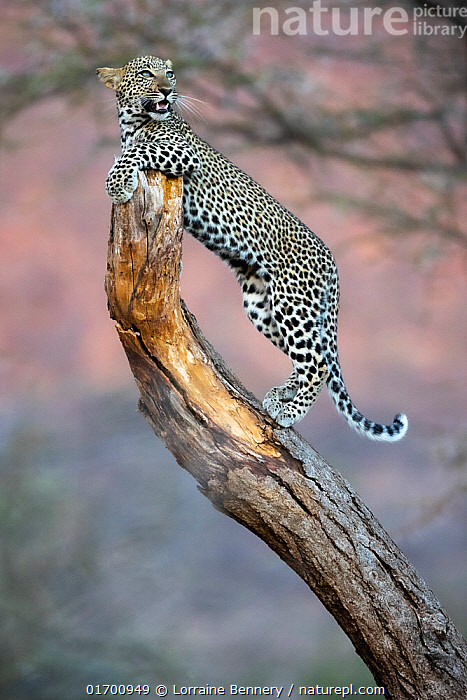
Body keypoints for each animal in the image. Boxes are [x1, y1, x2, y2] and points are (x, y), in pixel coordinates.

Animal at [97, 55, 408, 442]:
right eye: (145, 74)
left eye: (169, 74)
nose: (168, 90)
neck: (133, 122)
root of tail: (331, 260)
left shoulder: (181, 152)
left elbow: (137, 151)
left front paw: (116, 183)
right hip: (261, 305)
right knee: (308, 357)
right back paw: (281, 394)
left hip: (293, 304)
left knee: (319, 363)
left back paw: (289, 411)